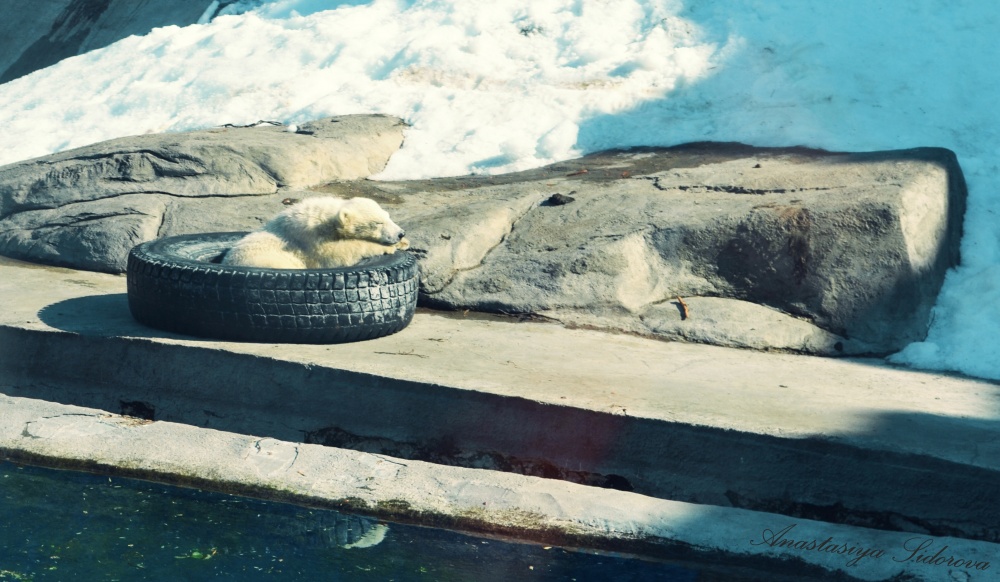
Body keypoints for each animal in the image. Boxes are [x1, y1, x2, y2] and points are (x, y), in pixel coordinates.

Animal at [221, 196, 409, 269]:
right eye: (378, 223)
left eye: (388, 216)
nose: (401, 233)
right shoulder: (310, 240)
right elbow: (340, 253)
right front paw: (389, 247)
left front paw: (404, 243)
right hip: (270, 262)